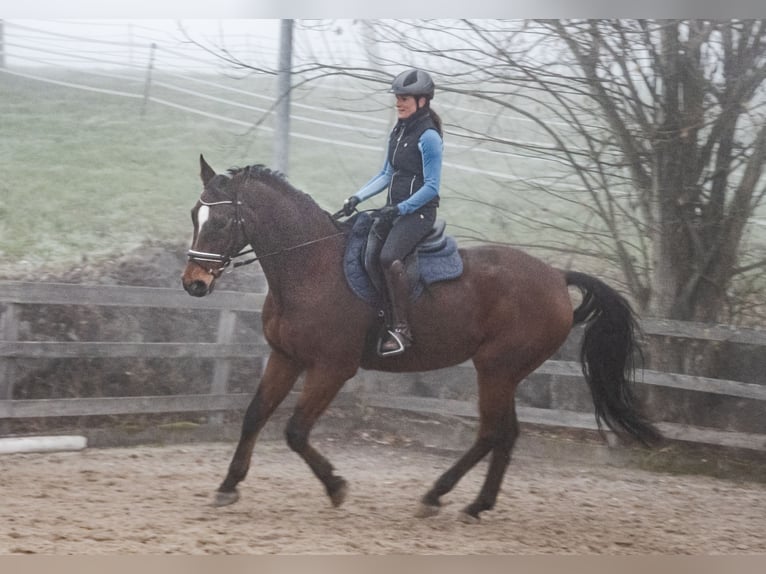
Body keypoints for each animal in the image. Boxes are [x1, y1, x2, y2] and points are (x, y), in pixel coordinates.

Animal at [182, 155, 664, 524]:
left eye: (221, 221)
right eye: (194, 215)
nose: (193, 284)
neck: (310, 267)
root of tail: (557, 277)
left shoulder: (332, 368)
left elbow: (296, 431)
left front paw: (336, 486)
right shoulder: (286, 357)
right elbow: (254, 416)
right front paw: (228, 485)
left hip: (496, 368)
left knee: (491, 432)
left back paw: (436, 496)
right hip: (504, 372)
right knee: (506, 434)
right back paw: (476, 505)